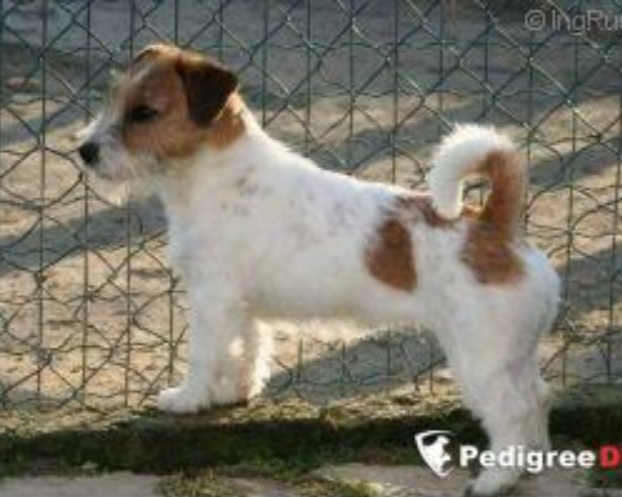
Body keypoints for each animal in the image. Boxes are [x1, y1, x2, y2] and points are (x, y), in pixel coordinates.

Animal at [78, 44, 560, 496]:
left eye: (145, 112)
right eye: (114, 97)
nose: (84, 151)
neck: (219, 174)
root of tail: (494, 224)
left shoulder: (211, 299)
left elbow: (203, 356)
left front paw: (188, 398)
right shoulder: (240, 306)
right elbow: (248, 350)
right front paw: (237, 392)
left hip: (482, 359)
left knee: (512, 413)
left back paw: (495, 479)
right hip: (512, 354)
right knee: (537, 399)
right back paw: (531, 463)